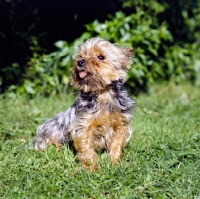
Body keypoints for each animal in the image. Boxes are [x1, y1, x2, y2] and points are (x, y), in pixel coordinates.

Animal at [34, 37, 137, 169]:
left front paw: (115, 162)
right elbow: (86, 147)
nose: (80, 62)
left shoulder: (121, 124)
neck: (103, 94)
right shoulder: (83, 125)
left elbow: (117, 143)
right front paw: (93, 168)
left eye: (101, 57)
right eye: (80, 56)